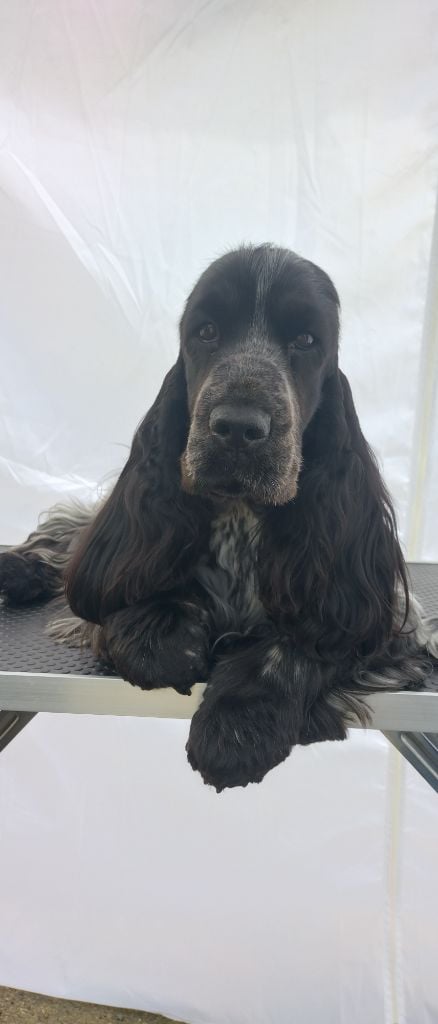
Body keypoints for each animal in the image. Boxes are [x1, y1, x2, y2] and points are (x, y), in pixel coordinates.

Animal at [1, 245, 437, 790]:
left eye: (306, 339)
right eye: (206, 331)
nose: (237, 428)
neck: (241, 518)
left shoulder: (386, 618)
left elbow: (299, 643)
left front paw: (237, 725)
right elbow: (136, 610)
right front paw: (165, 632)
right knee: (69, 527)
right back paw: (18, 567)